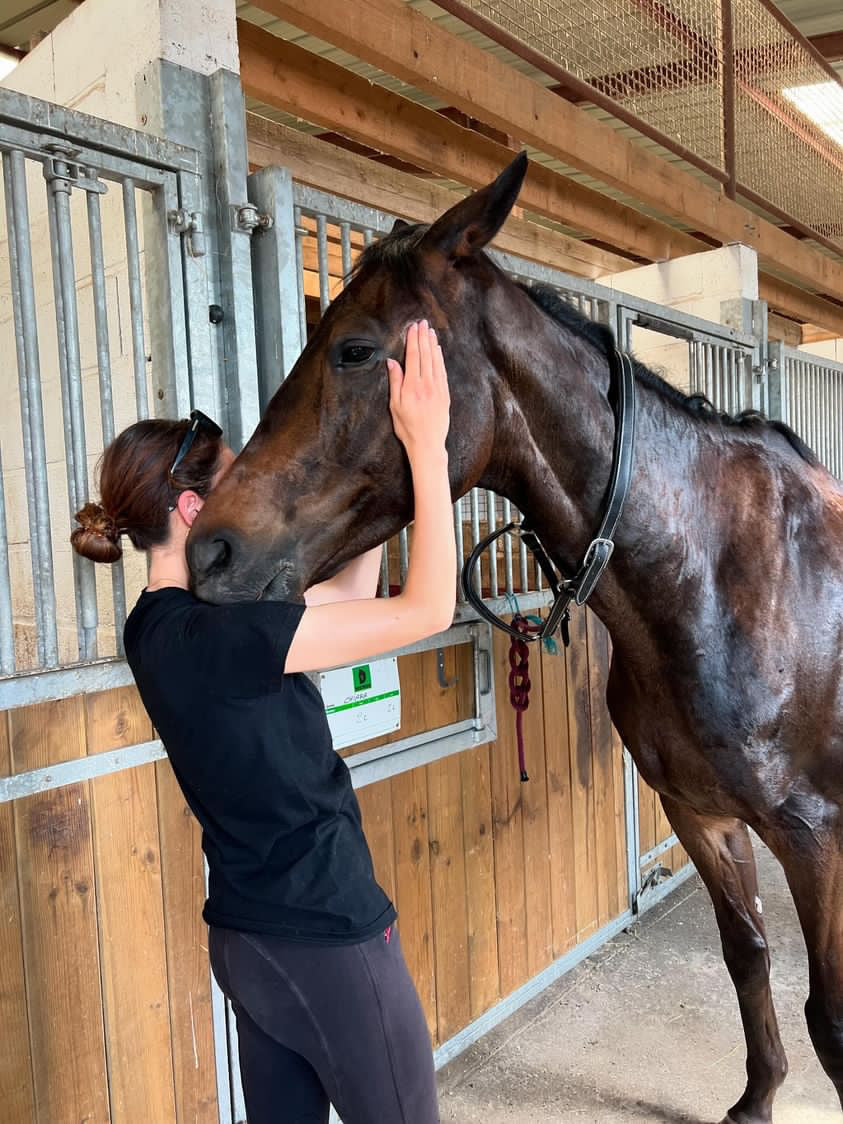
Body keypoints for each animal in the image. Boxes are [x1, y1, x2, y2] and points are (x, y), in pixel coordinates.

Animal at [188, 152, 843, 1124]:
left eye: (354, 348)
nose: (211, 549)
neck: (715, 576)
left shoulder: (810, 834)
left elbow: (829, 1020)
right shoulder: (699, 814)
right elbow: (746, 954)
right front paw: (756, 1096)